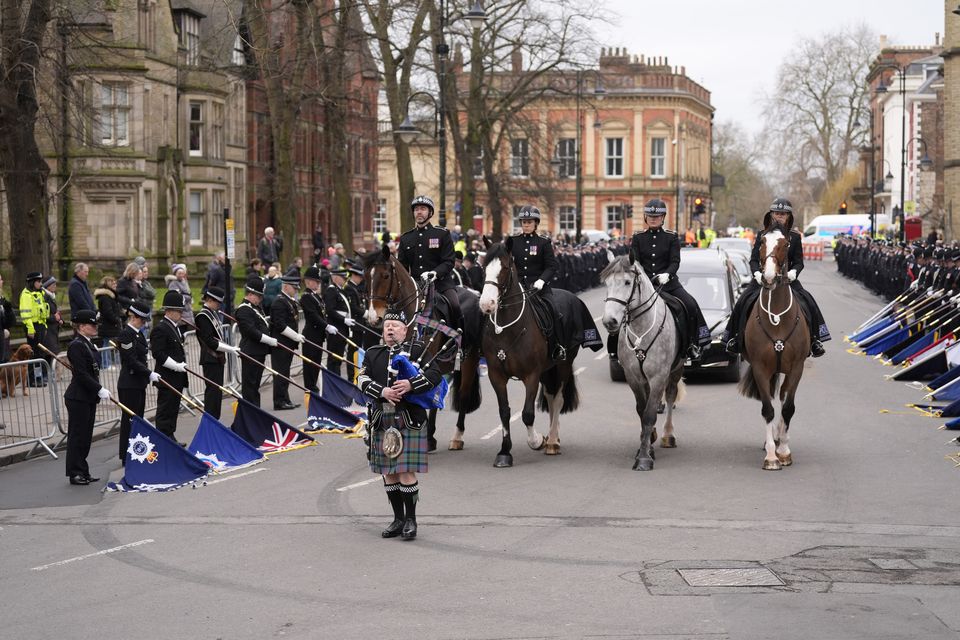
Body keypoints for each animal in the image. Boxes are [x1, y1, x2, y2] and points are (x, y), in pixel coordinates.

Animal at [600, 255, 684, 470]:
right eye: (606, 283)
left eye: (627, 282)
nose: (609, 321)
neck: (641, 328)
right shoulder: (634, 377)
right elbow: (641, 410)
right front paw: (647, 444)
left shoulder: (658, 377)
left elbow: (649, 414)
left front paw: (644, 457)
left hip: (676, 370)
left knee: (670, 396)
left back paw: (668, 435)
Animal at [736, 224, 808, 470]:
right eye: (761, 243)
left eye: (786, 244)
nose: (767, 277)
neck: (777, 316)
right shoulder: (760, 368)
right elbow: (768, 409)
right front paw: (771, 456)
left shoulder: (797, 367)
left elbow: (788, 408)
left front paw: (784, 451)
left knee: (784, 397)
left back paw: (779, 438)